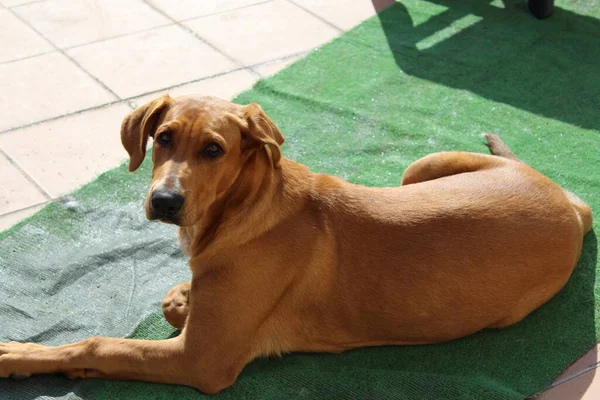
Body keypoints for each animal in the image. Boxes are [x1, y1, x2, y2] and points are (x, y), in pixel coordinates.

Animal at [0, 94, 592, 394]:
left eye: (214, 150)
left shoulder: (201, 361)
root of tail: (564, 201)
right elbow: (169, 304)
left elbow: (98, 343)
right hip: (421, 167)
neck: (244, 208)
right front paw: (182, 297)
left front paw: (21, 356)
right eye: (163, 138)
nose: (165, 201)